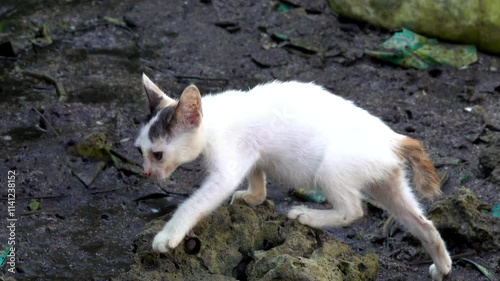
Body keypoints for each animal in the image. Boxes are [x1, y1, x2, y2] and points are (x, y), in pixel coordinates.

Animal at [134, 73, 454, 278]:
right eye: (140, 151)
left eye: (158, 154)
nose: (147, 172)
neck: (214, 120)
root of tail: (393, 139)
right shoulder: (253, 154)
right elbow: (258, 176)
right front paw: (253, 197)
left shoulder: (227, 168)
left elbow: (192, 204)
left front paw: (168, 236)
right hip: (388, 185)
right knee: (424, 224)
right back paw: (442, 266)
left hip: (332, 169)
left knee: (353, 210)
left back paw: (307, 216)